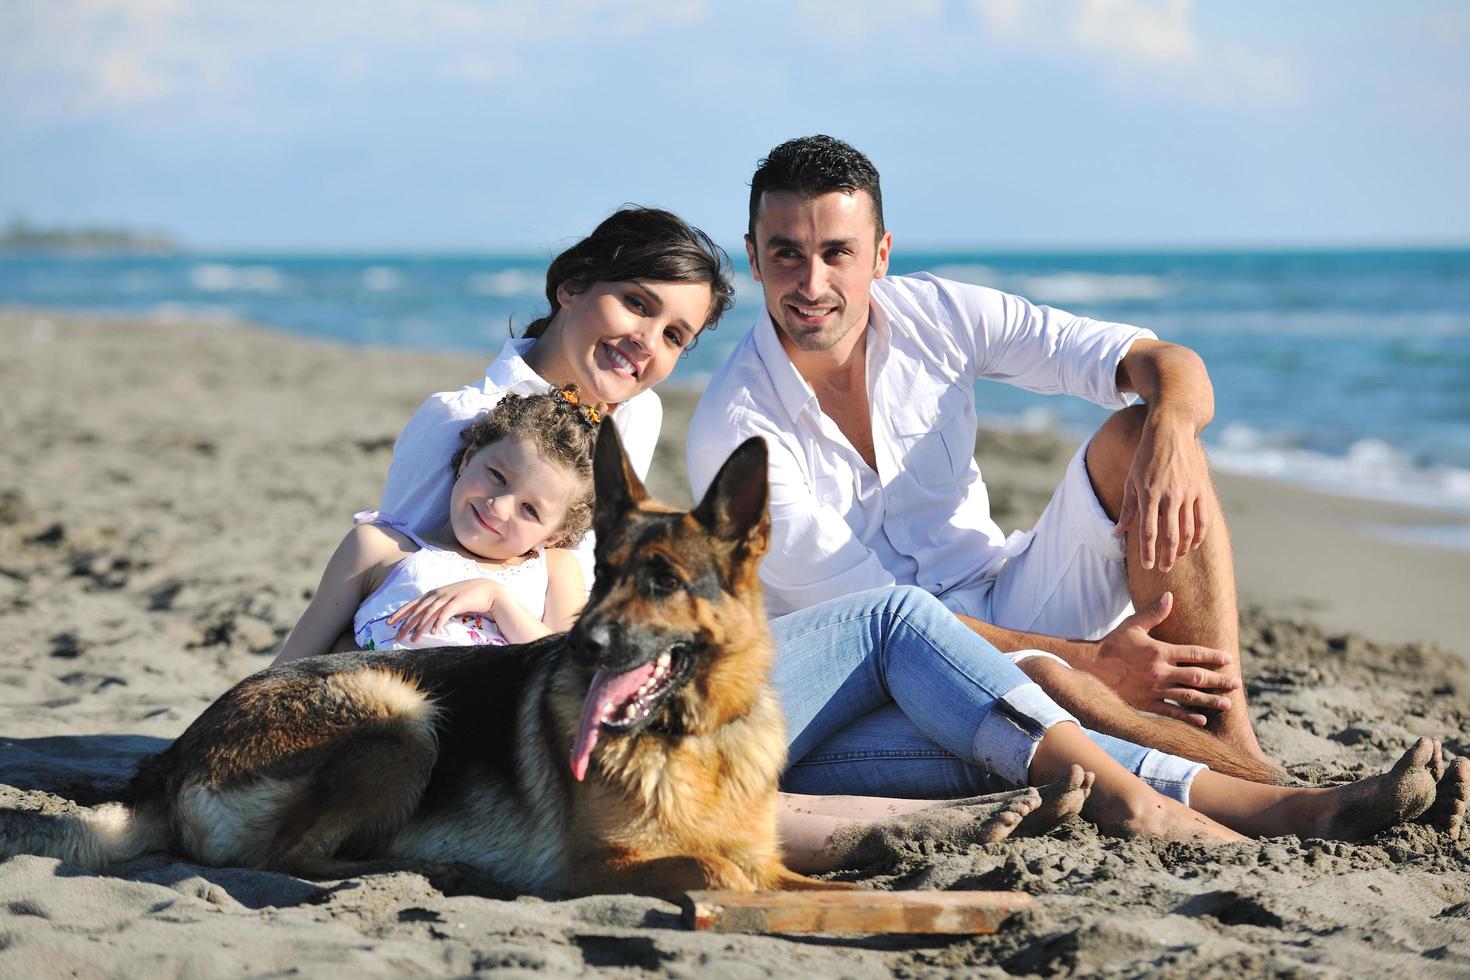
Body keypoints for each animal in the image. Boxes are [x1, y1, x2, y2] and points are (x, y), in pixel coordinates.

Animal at [0, 426, 852, 899]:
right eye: (603, 573)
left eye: (663, 582)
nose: (579, 645)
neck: (693, 741)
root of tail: (171, 761)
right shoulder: (595, 867)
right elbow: (718, 872)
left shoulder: (767, 860)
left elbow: (796, 879)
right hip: (402, 716)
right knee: (289, 855)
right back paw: (426, 874)